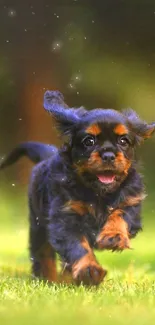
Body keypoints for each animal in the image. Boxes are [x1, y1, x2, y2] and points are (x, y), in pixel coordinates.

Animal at [1, 90, 155, 284]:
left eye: (123, 141)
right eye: (89, 141)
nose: (108, 155)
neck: (98, 193)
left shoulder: (131, 203)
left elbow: (119, 215)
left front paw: (113, 236)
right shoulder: (65, 217)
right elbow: (77, 246)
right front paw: (89, 270)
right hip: (38, 224)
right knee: (42, 254)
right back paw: (48, 279)